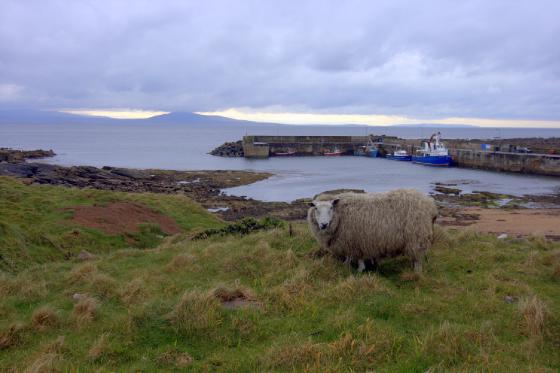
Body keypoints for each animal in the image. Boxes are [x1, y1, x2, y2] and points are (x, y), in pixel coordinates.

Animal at [306, 189, 438, 270]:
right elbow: (351, 256)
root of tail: (431, 205)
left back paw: (416, 273)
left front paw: (359, 269)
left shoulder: (354, 240)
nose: (324, 224)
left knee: (418, 259)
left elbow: (357, 257)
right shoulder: (353, 241)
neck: (340, 215)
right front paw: (348, 265)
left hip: (417, 237)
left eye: (331, 208)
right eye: (316, 208)